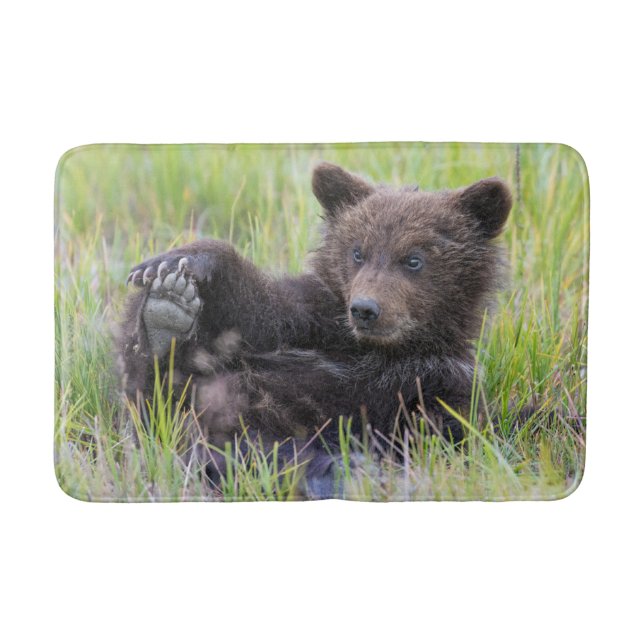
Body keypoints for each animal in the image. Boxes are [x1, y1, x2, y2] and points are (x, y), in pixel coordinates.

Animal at [118, 162, 512, 497]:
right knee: (154, 399)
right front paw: (178, 263)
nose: (365, 309)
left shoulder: (439, 379)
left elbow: (439, 437)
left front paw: (344, 469)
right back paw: (164, 317)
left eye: (414, 259)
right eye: (358, 252)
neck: (380, 350)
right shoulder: (314, 322)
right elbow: (261, 311)